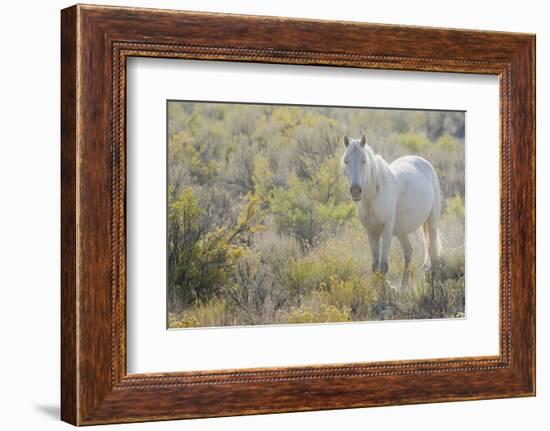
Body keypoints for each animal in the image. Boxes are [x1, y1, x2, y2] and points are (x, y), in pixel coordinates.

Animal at [342, 134, 442, 290]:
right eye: (346, 161)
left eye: (364, 161)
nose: (355, 190)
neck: (373, 196)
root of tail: (424, 163)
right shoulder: (371, 232)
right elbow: (375, 267)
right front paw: (378, 292)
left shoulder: (387, 230)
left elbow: (383, 267)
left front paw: (383, 294)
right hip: (401, 231)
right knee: (408, 253)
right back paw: (403, 288)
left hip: (431, 222)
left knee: (432, 253)